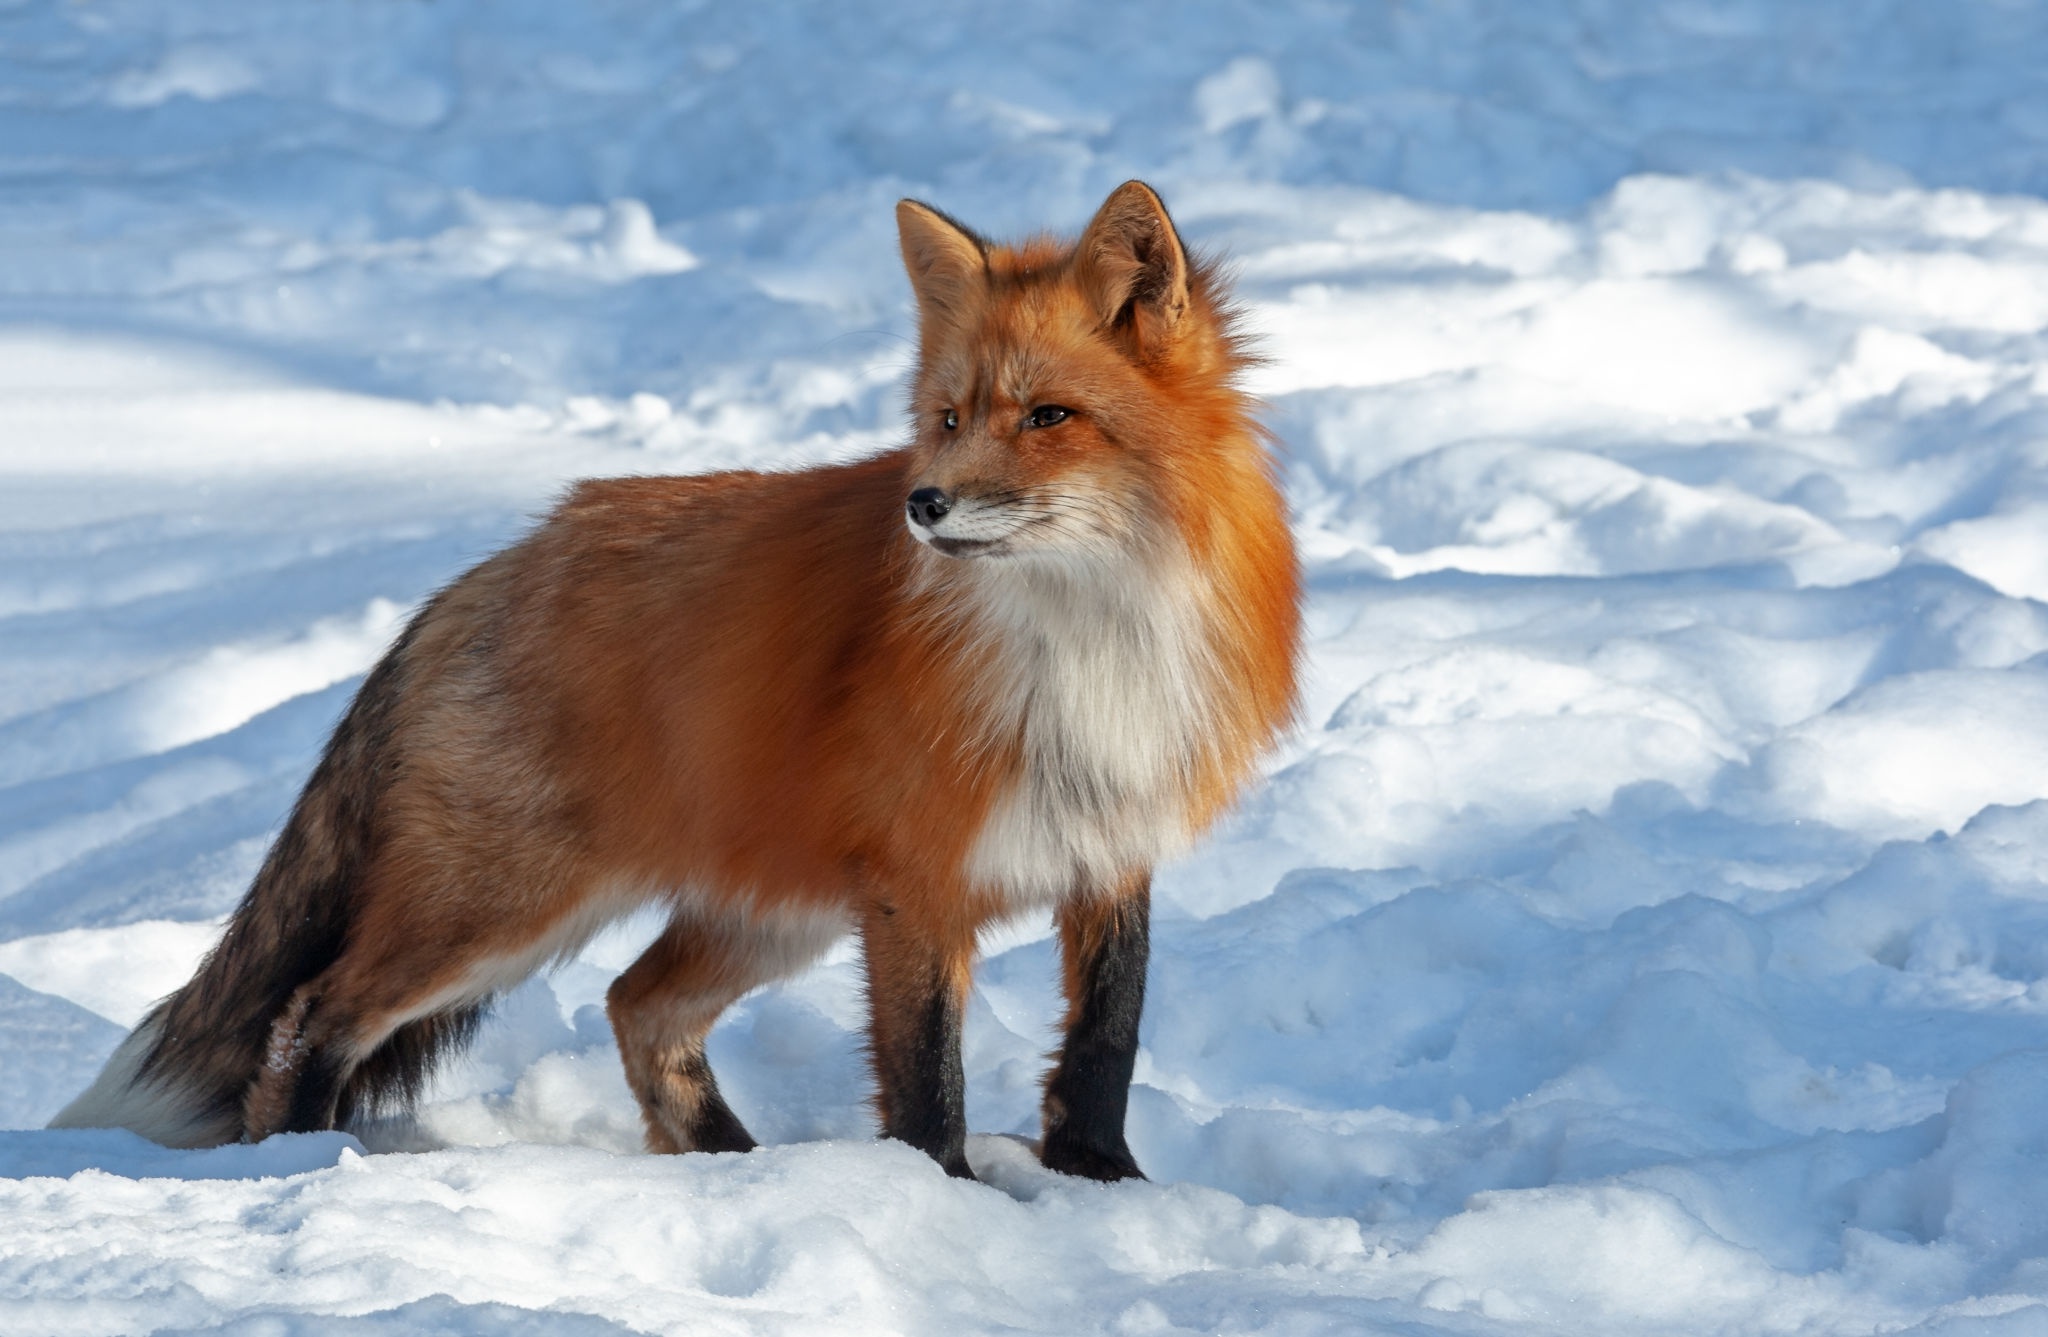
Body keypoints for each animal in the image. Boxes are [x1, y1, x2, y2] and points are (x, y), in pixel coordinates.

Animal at [56, 180, 1302, 1179]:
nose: (923, 502)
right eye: (946, 419)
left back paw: (725, 1162)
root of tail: (490, 567)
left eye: (1048, 416)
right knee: (314, 1012)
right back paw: (302, 1154)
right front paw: (937, 1200)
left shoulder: (1110, 846)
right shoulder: (915, 887)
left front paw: (1102, 1182)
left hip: (766, 915)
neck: (1082, 636)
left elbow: (1103, 1039)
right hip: (500, 905)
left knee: (636, 1004)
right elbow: (925, 1081)